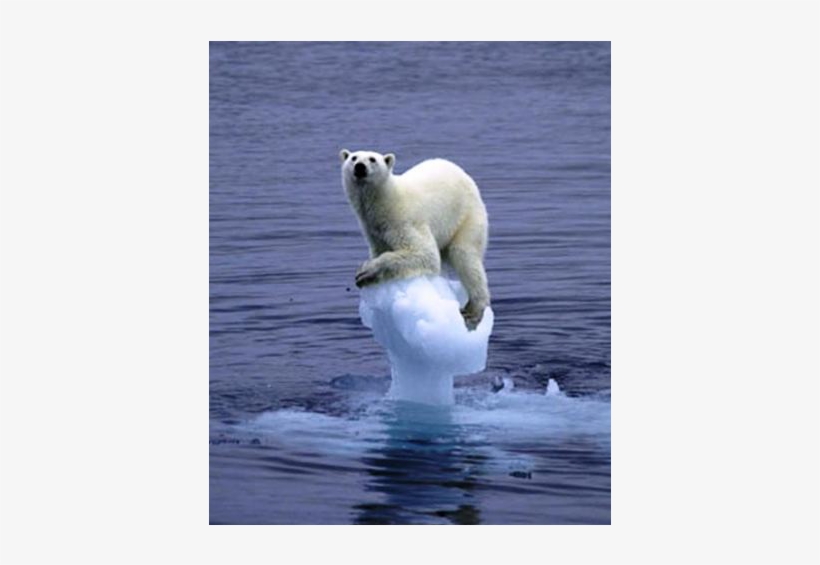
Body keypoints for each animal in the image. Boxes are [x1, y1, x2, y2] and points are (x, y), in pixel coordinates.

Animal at [340, 149, 490, 330]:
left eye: (372, 159)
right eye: (353, 157)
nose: (360, 167)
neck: (386, 202)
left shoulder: (404, 221)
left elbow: (424, 253)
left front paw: (366, 271)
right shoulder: (374, 231)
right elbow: (382, 249)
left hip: (467, 216)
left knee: (465, 256)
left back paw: (473, 311)